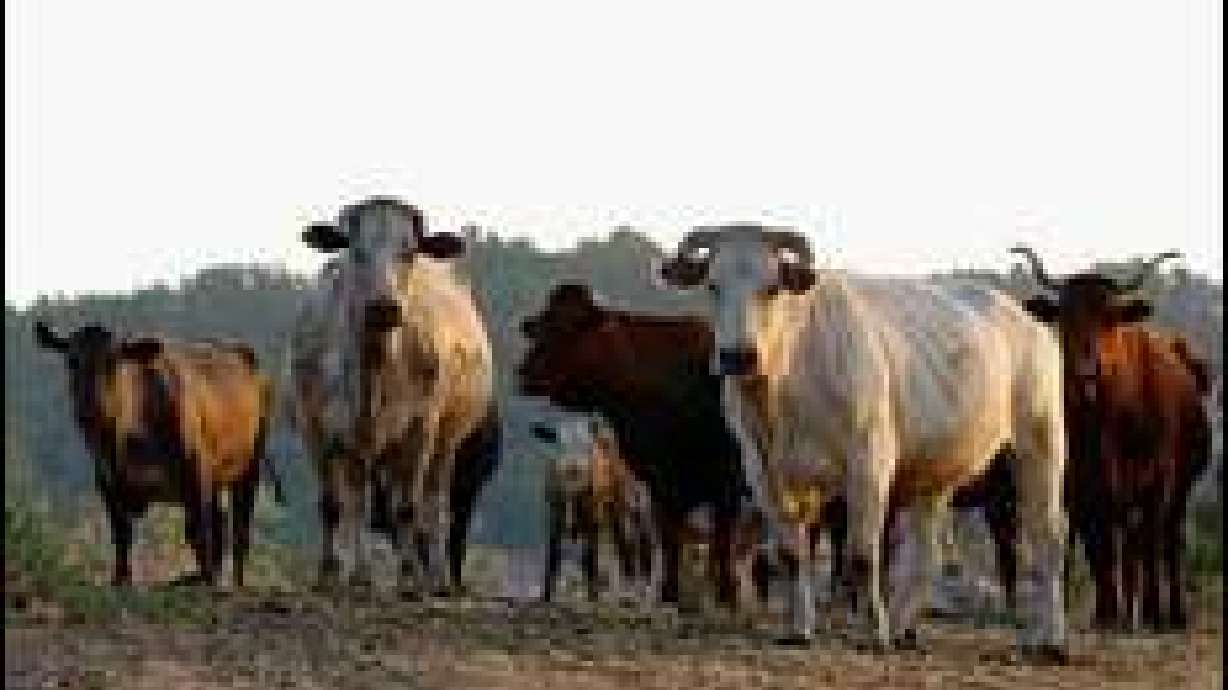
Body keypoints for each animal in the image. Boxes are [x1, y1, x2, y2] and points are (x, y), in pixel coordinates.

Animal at [34, 322, 282, 587]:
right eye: (72, 361)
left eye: (112, 362)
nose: (87, 409)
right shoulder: (108, 483)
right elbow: (121, 533)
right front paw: (120, 579)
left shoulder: (195, 475)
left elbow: (198, 531)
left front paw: (209, 580)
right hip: (215, 476)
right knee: (220, 522)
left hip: (250, 465)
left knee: (239, 527)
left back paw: (233, 581)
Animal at [289, 197, 496, 597]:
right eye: (355, 250)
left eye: (409, 251)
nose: (384, 306)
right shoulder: (318, 428)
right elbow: (336, 505)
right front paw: (339, 575)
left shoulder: (420, 430)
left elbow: (407, 508)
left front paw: (408, 578)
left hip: (446, 442)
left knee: (433, 505)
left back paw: (436, 578)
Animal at [531, 415, 656, 603]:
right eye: (557, 441)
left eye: (588, 447)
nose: (574, 468)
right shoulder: (555, 517)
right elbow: (553, 556)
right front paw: (546, 595)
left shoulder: (594, 516)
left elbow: (591, 558)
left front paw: (593, 596)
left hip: (621, 518)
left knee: (628, 552)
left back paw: (631, 593)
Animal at [659, 224, 1068, 659]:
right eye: (712, 286)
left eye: (772, 288)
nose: (738, 356)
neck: (784, 392)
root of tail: (1027, 318)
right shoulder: (761, 469)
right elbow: (790, 554)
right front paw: (799, 630)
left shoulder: (869, 463)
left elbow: (862, 555)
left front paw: (875, 633)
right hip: (936, 472)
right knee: (927, 554)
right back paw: (905, 629)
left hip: (1040, 442)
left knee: (1048, 538)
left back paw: (1050, 640)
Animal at [1011, 247, 1212, 631]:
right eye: (1065, 316)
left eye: (1110, 317)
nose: (1084, 371)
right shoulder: (1082, 487)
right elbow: (1099, 548)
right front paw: (1106, 612)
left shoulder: (1159, 481)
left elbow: (1150, 544)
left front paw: (1152, 611)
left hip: (1180, 488)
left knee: (1168, 542)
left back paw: (1172, 612)